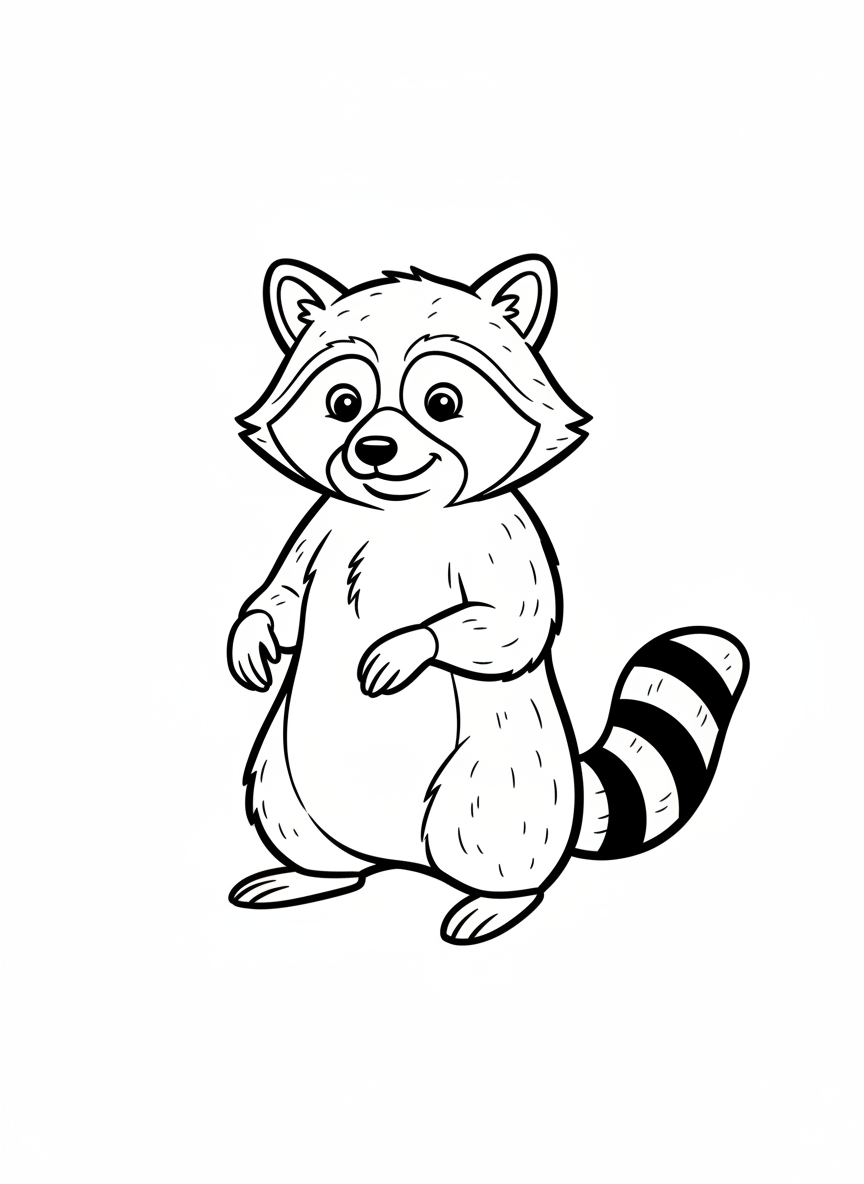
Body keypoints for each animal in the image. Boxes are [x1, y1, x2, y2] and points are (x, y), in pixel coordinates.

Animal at [227, 255, 749, 944]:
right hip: (282, 781)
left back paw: (500, 900)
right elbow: (283, 593)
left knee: (494, 840)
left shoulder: (505, 542)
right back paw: (314, 874)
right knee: (308, 832)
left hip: (494, 789)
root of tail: (403, 860)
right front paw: (254, 634)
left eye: (442, 402)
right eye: (343, 402)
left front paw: (413, 644)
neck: (405, 519)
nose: (374, 448)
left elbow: (508, 626)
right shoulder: (321, 528)